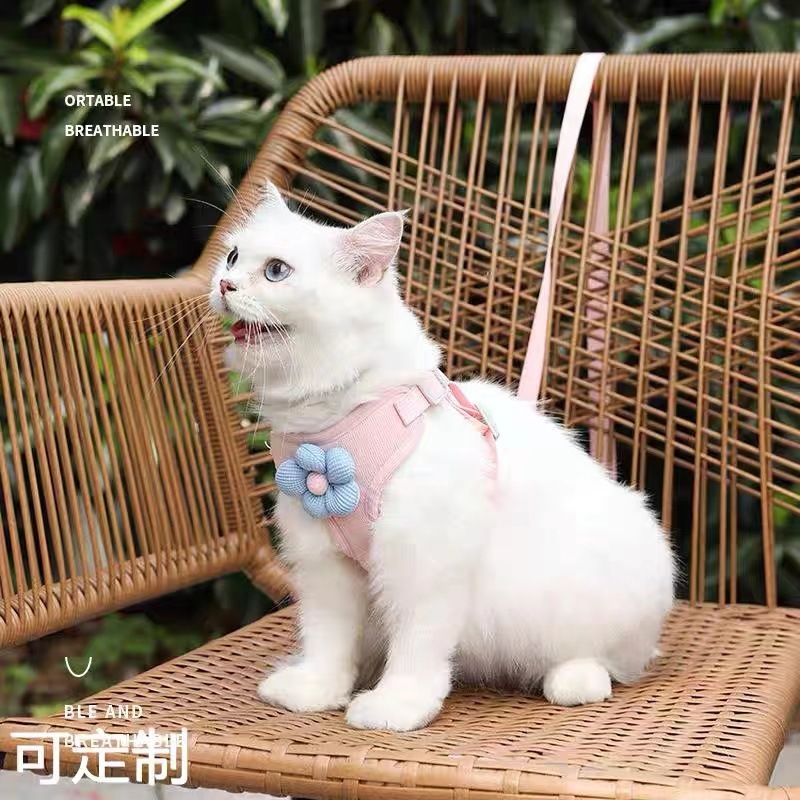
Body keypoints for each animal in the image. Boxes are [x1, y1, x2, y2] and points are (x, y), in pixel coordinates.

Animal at [209, 182, 675, 732]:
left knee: (604, 658)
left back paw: (574, 682)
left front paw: (394, 709)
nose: (224, 284)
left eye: (276, 270)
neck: (336, 428)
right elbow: (328, 641)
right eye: (233, 256)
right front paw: (314, 692)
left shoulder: (423, 565)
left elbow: (415, 651)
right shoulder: (324, 563)